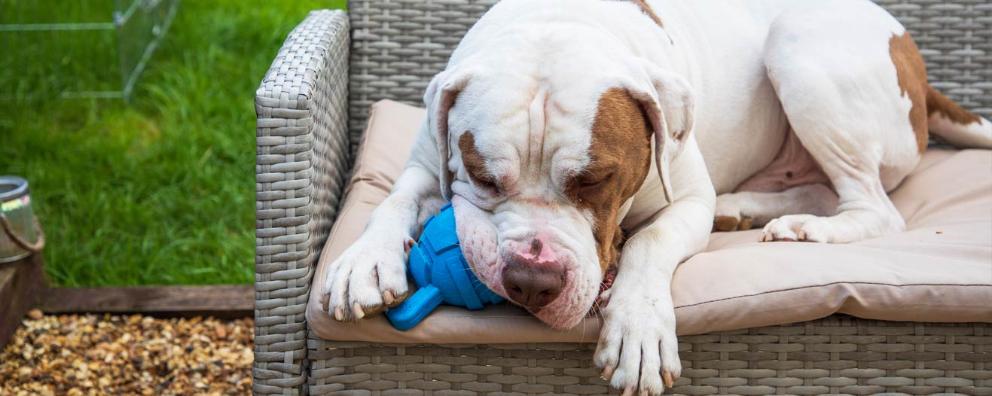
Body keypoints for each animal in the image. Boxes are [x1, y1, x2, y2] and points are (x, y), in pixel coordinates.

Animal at [322, 1, 988, 394]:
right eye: (484, 177)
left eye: (595, 180)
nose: (532, 280)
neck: (557, 23)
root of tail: (918, 65)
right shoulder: (427, 159)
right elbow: (396, 197)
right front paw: (363, 263)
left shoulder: (686, 199)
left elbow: (651, 240)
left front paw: (637, 327)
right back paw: (751, 207)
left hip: (799, 47)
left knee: (876, 206)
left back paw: (809, 228)